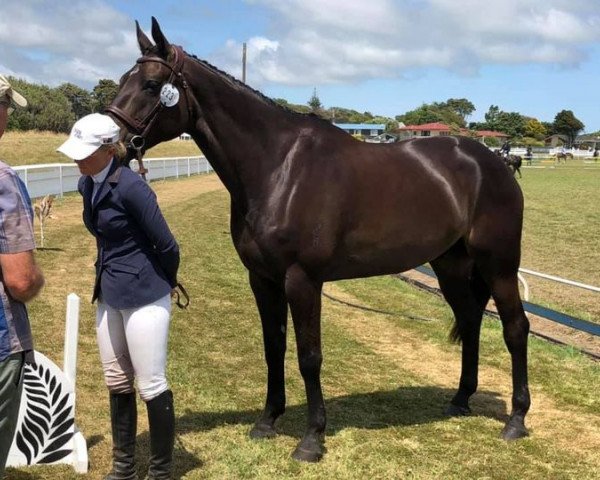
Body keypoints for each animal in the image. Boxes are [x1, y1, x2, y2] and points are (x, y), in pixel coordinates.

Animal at [106, 17, 528, 462]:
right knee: (470, 319)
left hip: (499, 265)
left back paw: (516, 420)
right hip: (450, 264)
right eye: (124, 79)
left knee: (516, 328)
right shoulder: (263, 279)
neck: (278, 168)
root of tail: (492, 162)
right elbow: (273, 347)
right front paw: (267, 421)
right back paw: (461, 399)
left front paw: (311, 438)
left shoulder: (302, 280)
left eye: (152, 84)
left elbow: (309, 356)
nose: (111, 145)